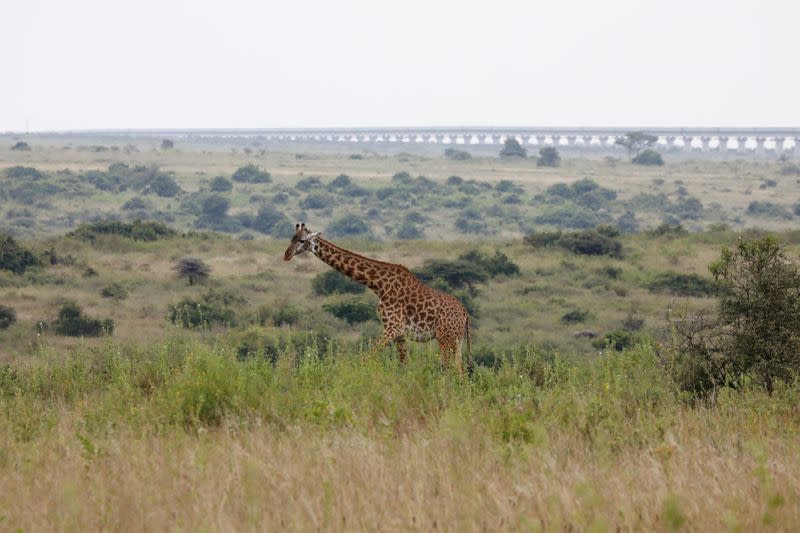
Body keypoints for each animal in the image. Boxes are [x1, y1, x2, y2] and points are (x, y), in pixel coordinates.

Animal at [282, 222, 472, 372]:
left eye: (302, 240)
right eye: (291, 238)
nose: (286, 255)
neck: (378, 285)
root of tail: (464, 314)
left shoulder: (392, 328)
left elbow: (366, 358)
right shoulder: (399, 334)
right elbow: (404, 366)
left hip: (444, 338)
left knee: (450, 370)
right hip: (456, 340)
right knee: (460, 371)